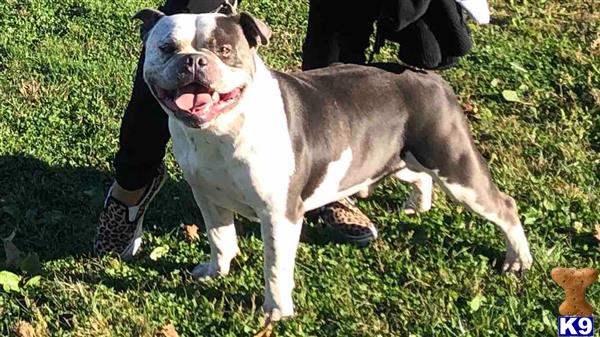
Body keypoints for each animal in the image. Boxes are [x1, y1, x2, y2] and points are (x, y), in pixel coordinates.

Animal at [134, 9, 532, 320]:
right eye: (166, 48)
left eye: (225, 50)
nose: (193, 60)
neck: (220, 130)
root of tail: (427, 76)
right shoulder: (208, 197)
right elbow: (220, 239)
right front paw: (216, 271)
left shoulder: (280, 215)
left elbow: (275, 267)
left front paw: (276, 310)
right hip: (398, 156)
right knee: (421, 178)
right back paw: (416, 206)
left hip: (455, 167)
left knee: (504, 206)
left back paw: (518, 259)